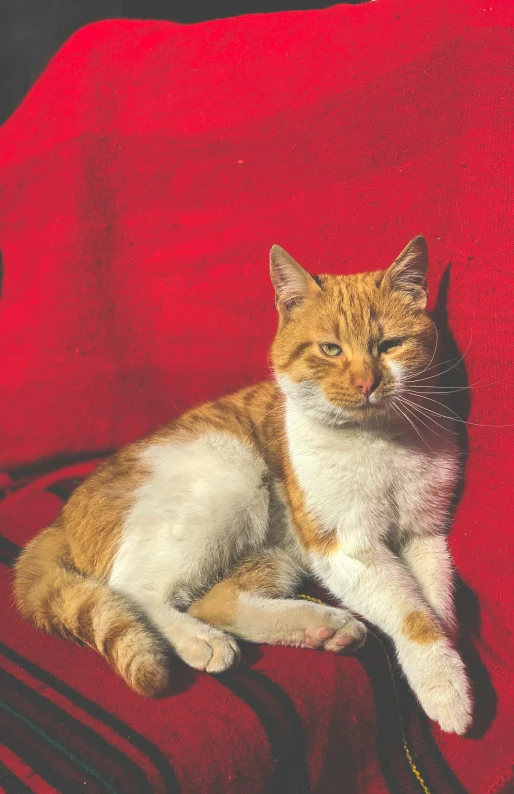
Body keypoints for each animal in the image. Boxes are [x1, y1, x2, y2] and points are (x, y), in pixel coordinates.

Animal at [14, 238, 470, 732]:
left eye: (389, 345)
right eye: (330, 349)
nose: (367, 383)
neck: (379, 442)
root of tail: (62, 515)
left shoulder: (424, 534)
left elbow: (437, 604)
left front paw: (443, 660)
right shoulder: (345, 545)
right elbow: (410, 612)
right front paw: (445, 688)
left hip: (276, 546)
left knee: (215, 600)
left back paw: (324, 628)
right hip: (233, 476)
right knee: (134, 588)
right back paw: (200, 639)